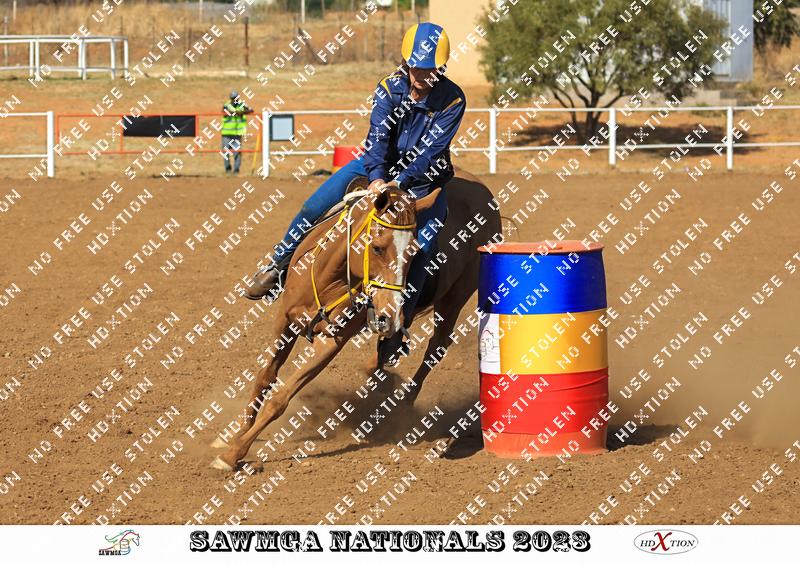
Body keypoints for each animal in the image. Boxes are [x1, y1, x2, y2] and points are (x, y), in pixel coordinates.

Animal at [211, 171, 502, 470]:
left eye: (414, 253)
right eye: (378, 248)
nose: (393, 313)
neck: (330, 278)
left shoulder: (332, 342)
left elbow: (280, 399)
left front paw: (234, 454)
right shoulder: (285, 320)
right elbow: (264, 378)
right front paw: (235, 434)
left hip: (455, 297)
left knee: (436, 347)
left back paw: (403, 408)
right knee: (388, 353)